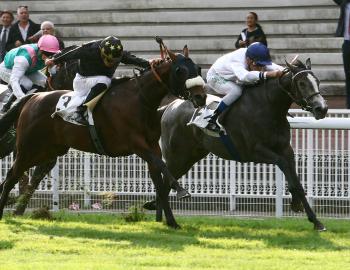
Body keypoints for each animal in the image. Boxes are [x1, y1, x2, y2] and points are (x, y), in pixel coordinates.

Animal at [0, 47, 206, 228]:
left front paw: (172, 222)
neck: (140, 100)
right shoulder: (137, 144)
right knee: (11, 176)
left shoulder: (152, 146)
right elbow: (162, 165)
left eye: (198, 68)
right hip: (28, 148)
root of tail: (33, 98)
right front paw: (182, 191)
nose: (201, 97)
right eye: (180, 70)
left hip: (49, 150)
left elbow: (160, 184)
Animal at [150, 58, 328, 231]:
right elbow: (283, 165)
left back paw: (161, 218)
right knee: (164, 185)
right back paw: (169, 221)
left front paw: (315, 220)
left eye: (318, 81)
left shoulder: (286, 149)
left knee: (166, 185)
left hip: (189, 158)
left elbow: (297, 183)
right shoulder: (255, 151)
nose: (322, 108)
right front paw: (296, 203)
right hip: (176, 157)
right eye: (302, 83)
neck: (269, 107)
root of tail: (169, 107)